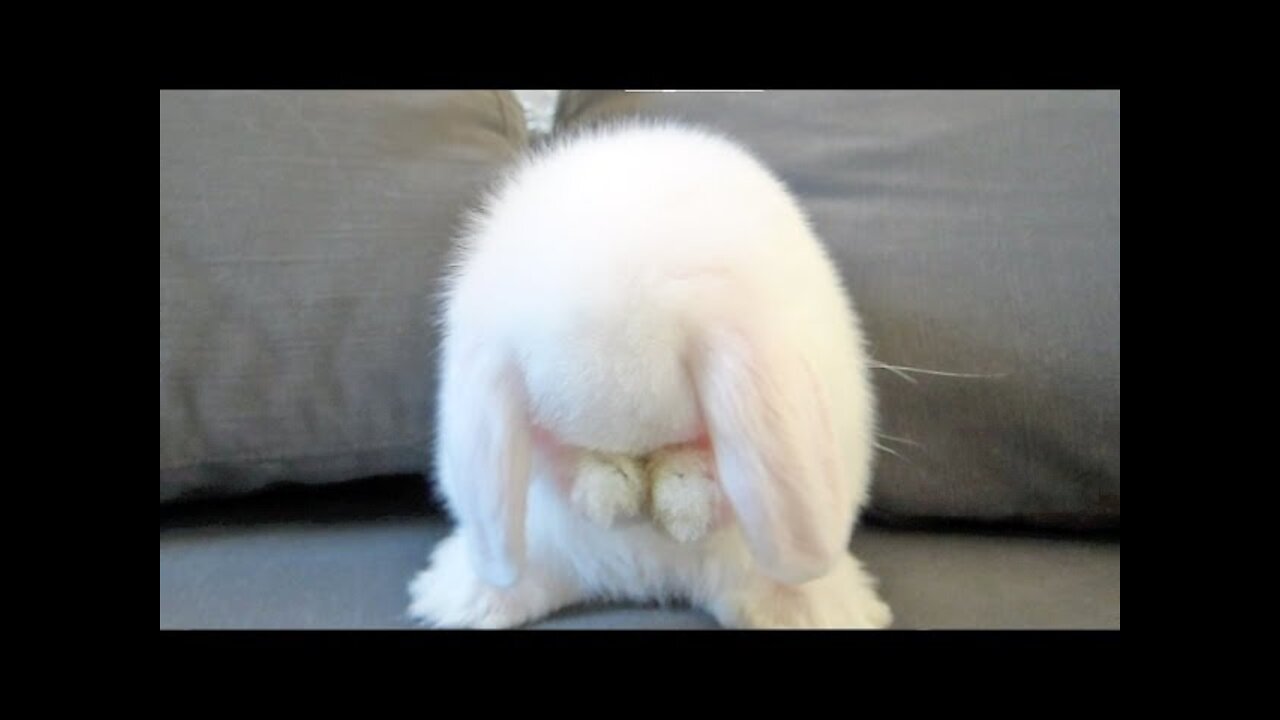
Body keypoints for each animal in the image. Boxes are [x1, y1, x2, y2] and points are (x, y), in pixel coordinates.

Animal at [409, 120, 890, 625]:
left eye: (692, 432)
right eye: (568, 437)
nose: (637, 506)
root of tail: (644, 581)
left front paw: (682, 498)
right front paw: (608, 491)